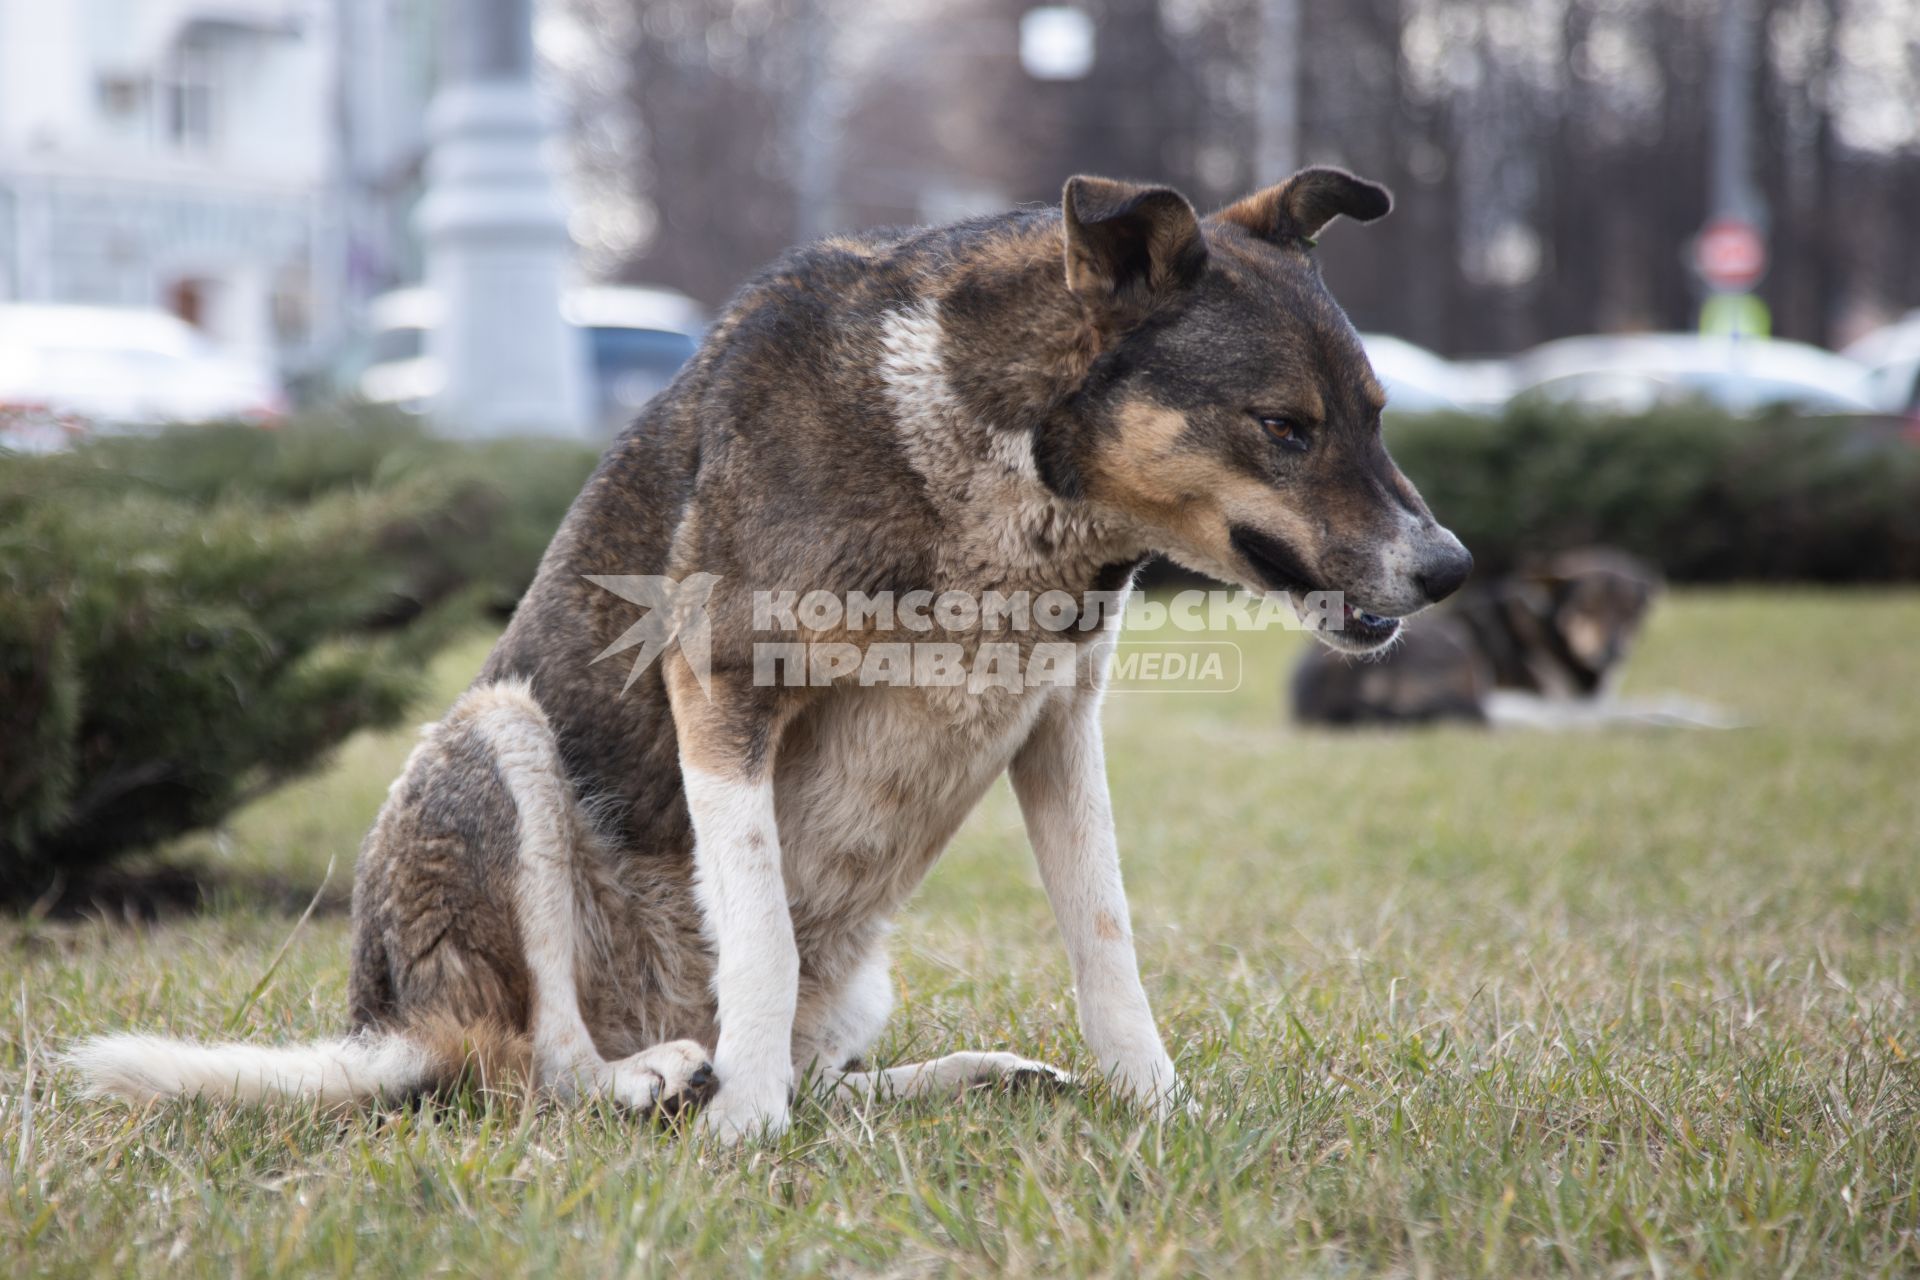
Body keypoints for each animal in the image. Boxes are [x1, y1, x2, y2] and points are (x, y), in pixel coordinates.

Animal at [71, 167, 1466, 1143]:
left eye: (1378, 414)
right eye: (1284, 427)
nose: (1450, 567)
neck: (992, 461)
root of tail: (392, 1028)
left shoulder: (1058, 724)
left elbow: (1106, 938)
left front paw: (1159, 1104)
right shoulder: (725, 683)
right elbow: (758, 927)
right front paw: (744, 1125)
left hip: (860, 979)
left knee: (825, 1071)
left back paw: (963, 1076)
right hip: (496, 738)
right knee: (540, 1066)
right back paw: (662, 1076)